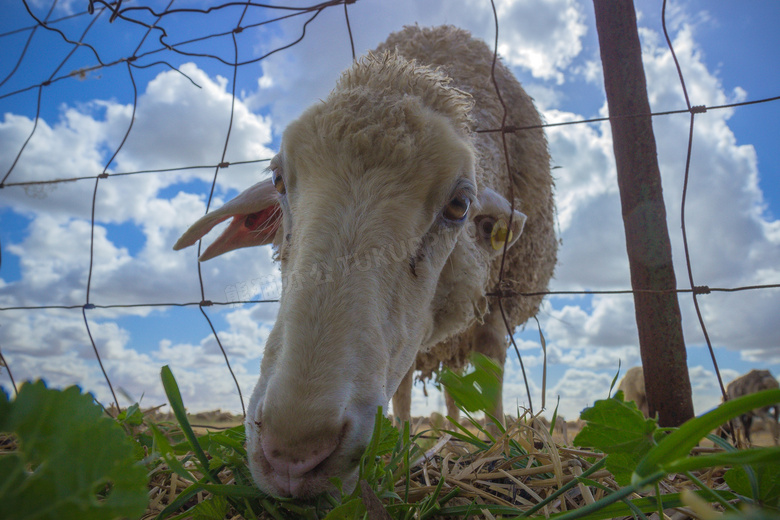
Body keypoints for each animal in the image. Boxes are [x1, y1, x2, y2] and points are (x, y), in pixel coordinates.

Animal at [174, 26, 556, 498]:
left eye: (459, 205)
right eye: (278, 180)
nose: (292, 453)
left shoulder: (498, 308)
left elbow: (494, 378)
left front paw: (500, 448)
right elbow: (404, 390)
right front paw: (403, 451)